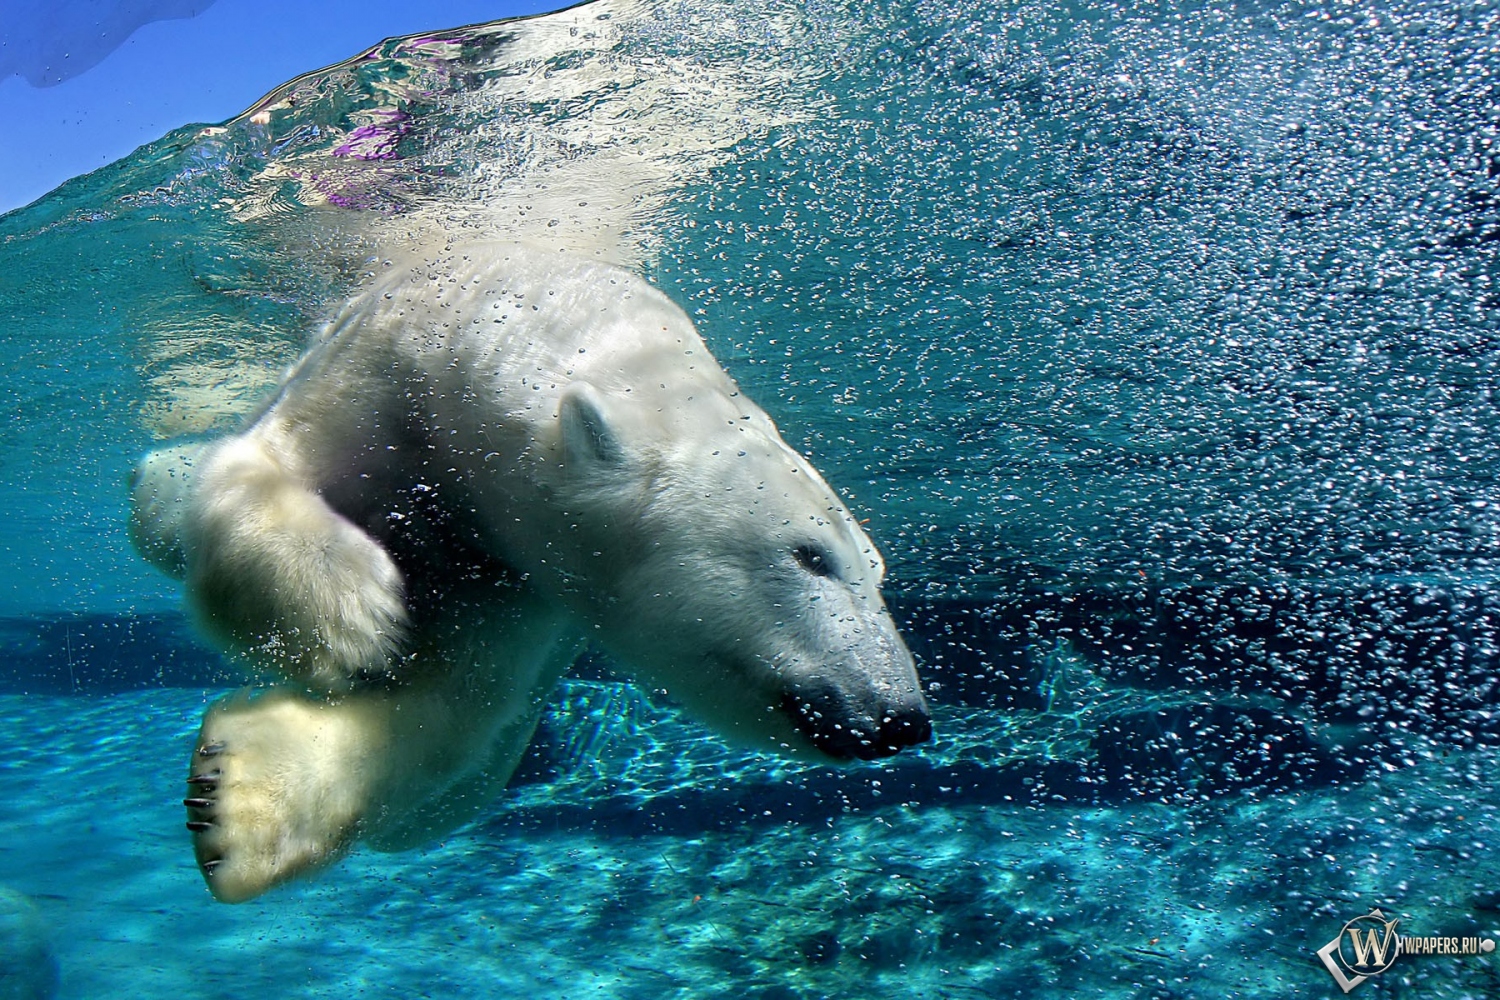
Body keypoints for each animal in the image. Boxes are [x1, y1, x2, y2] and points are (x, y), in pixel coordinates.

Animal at [132, 244, 924, 905]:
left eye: (877, 573)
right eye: (810, 555)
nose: (900, 718)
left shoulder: (526, 581)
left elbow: (456, 701)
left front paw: (234, 798)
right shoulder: (379, 371)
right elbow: (261, 469)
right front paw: (354, 615)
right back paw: (158, 479)